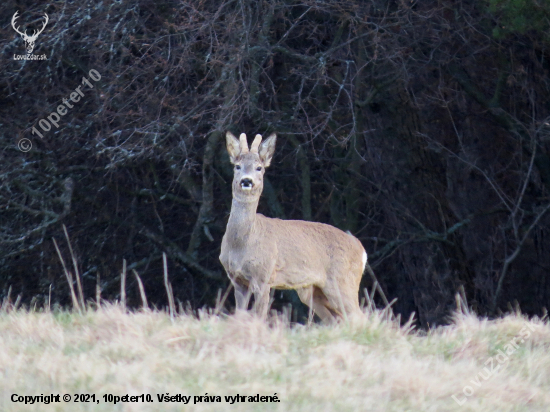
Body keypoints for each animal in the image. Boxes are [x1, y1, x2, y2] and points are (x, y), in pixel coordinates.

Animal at [219, 131, 366, 322]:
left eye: (259, 167)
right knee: (337, 319)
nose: (246, 181)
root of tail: (362, 251)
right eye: (237, 166)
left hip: (343, 282)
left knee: (359, 316)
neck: (242, 243)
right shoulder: (237, 280)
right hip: (314, 292)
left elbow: (260, 316)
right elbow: (240, 315)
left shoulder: (264, 276)